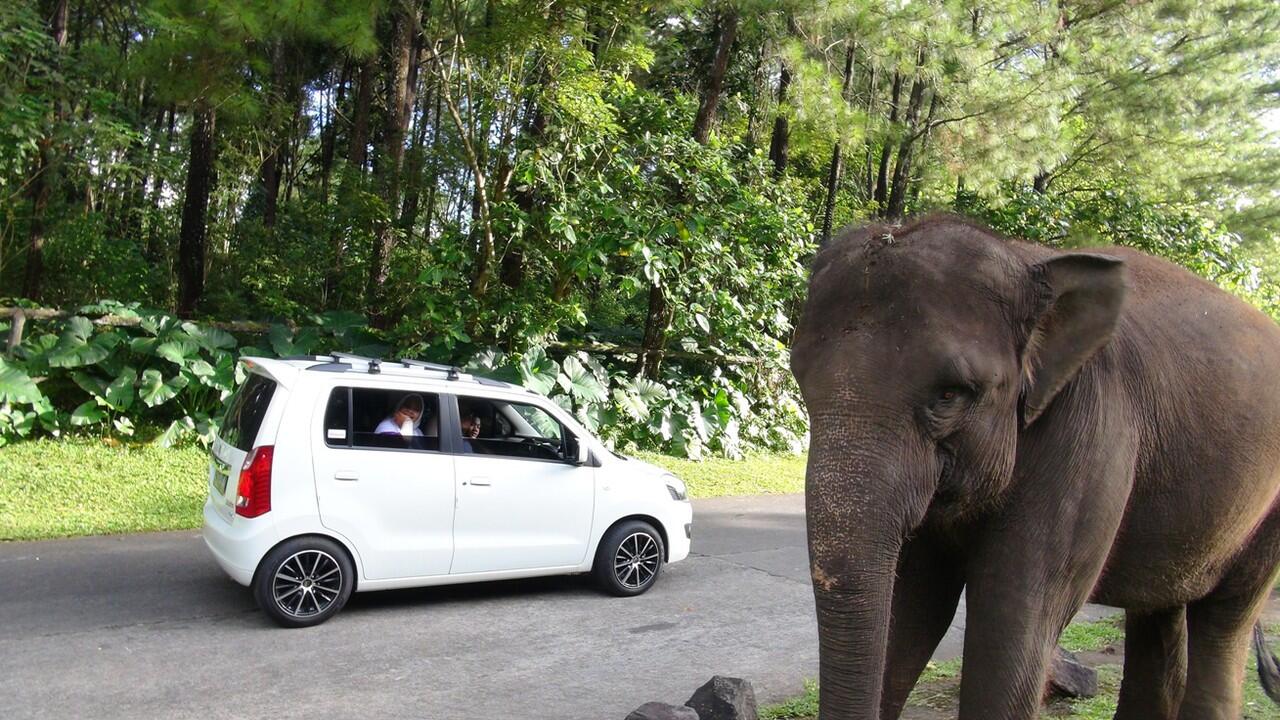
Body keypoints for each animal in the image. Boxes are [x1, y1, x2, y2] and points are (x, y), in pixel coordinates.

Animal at [783, 213, 1280, 717]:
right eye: (800, 379)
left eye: (950, 394)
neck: (1024, 257)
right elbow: (915, 607)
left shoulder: (1089, 433)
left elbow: (1011, 625)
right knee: (1160, 614)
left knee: (1225, 619)